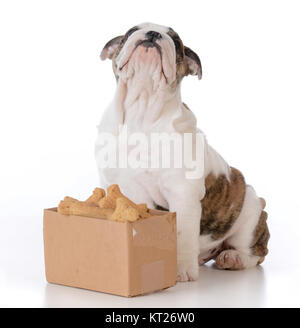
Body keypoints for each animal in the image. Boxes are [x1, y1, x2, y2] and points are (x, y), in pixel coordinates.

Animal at [95, 22, 270, 282]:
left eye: (176, 42)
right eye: (131, 31)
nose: (153, 34)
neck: (141, 110)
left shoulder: (182, 193)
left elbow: (182, 232)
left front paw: (180, 270)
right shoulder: (113, 185)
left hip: (250, 215)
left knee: (256, 253)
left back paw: (233, 258)